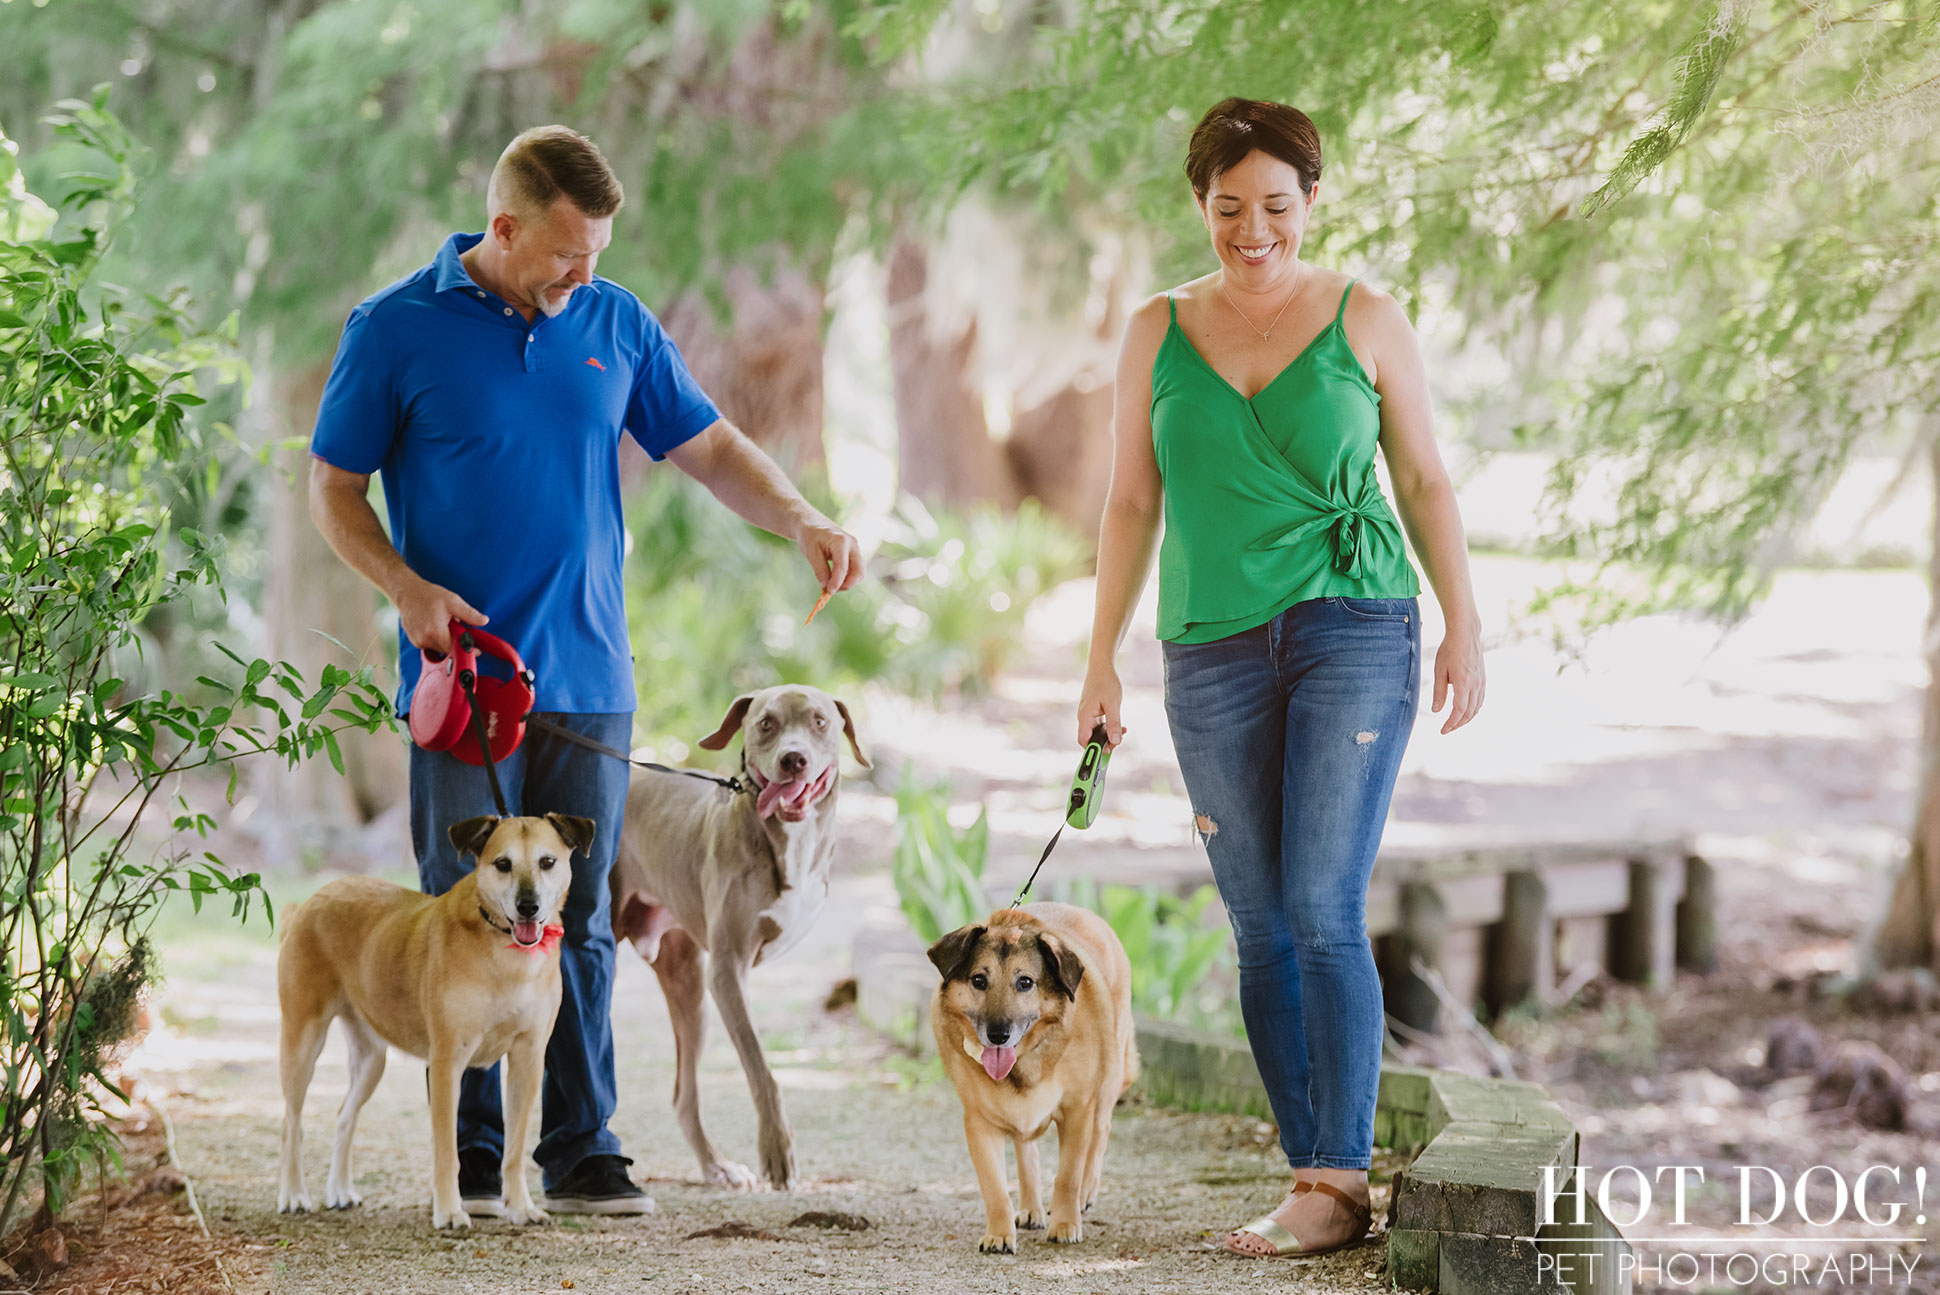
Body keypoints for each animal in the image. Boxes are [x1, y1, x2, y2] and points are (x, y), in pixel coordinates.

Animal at [273, 814, 589, 1232]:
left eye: (547, 862)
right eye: (502, 864)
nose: (528, 907)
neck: (505, 953)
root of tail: (310, 901)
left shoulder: (528, 1060)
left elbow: (516, 1148)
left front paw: (520, 1207)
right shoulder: (446, 1063)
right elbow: (446, 1150)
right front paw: (450, 1210)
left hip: (371, 1062)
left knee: (344, 1117)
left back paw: (339, 1190)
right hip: (302, 1043)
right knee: (292, 1123)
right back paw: (293, 1194)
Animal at [923, 899, 1132, 1256]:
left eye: (1025, 982)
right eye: (979, 980)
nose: (998, 1035)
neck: (1023, 1061)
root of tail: (1080, 910)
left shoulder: (1077, 1111)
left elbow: (1068, 1176)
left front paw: (1065, 1225)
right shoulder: (979, 1122)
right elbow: (994, 1187)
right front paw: (998, 1234)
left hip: (1109, 1078)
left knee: (1101, 1131)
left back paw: (1086, 1193)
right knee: (1026, 1151)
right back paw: (1031, 1207)